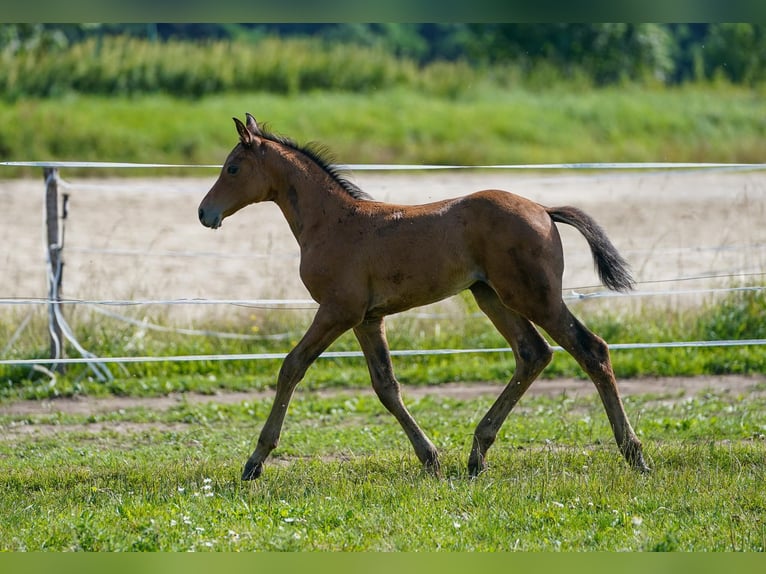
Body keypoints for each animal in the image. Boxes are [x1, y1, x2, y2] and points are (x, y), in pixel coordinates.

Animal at [201, 113, 652, 482]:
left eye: (233, 167)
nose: (205, 213)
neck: (332, 222)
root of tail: (543, 209)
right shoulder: (367, 318)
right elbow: (385, 385)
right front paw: (430, 458)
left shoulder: (337, 311)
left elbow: (292, 367)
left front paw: (255, 461)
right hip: (490, 295)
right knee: (533, 353)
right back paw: (477, 454)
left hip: (533, 296)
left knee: (591, 349)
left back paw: (635, 455)